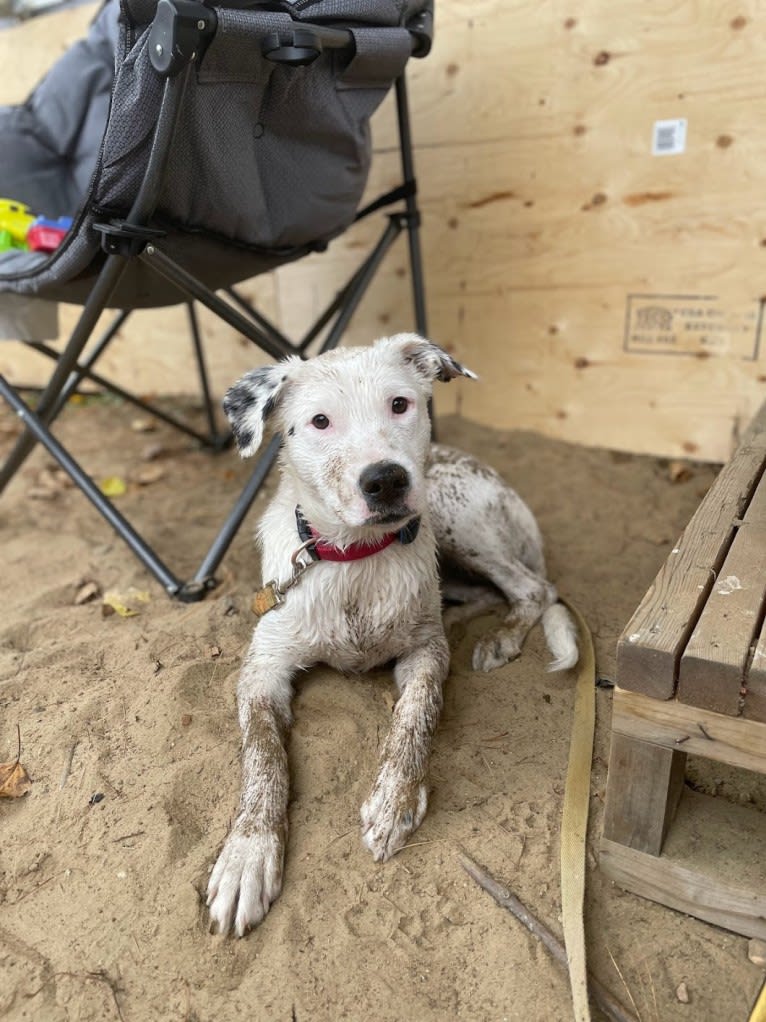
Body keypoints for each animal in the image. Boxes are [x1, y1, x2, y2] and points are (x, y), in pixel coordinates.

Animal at [204, 335, 576, 936]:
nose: (386, 480)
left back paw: (500, 638)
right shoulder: (262, 668)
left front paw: (395, 800)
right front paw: (248, 854)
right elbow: (262, 756)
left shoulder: (424, 654)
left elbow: (415, 716)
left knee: (533, 587)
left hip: (453, 516)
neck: (355, 560)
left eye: (400, 404)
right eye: (320, 421)